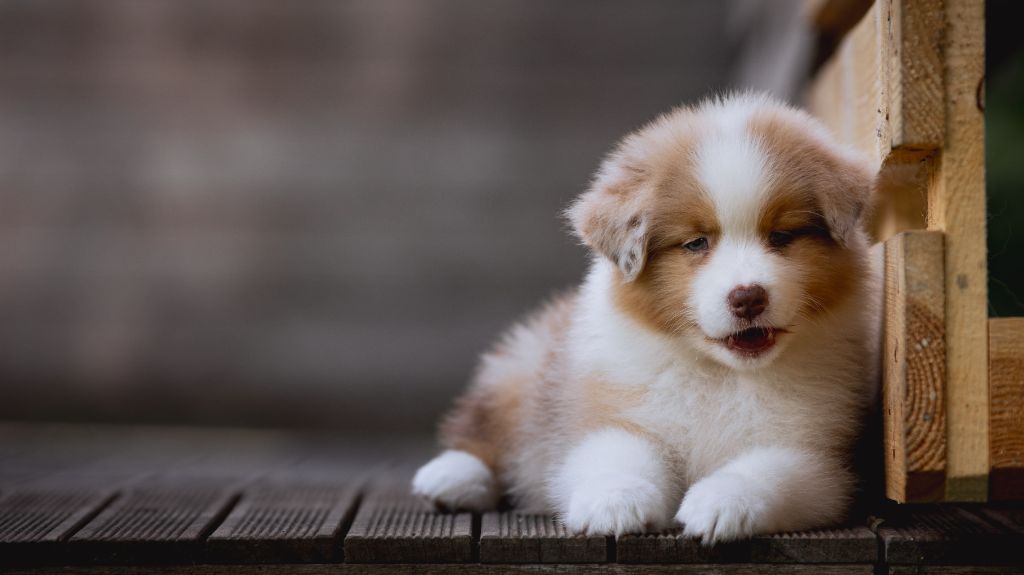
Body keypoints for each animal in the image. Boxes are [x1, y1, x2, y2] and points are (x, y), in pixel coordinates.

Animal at [407, 93, 880, 540]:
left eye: (781, 236)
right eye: (696, 243)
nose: (747, 298)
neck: (720, 374)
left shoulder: (818, 455)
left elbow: (768, 470)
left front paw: (721, 504)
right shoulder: (613, 412)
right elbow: (617, 453)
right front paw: (616, 502)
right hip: (523, 368)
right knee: (484, 423)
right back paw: (451, 478)